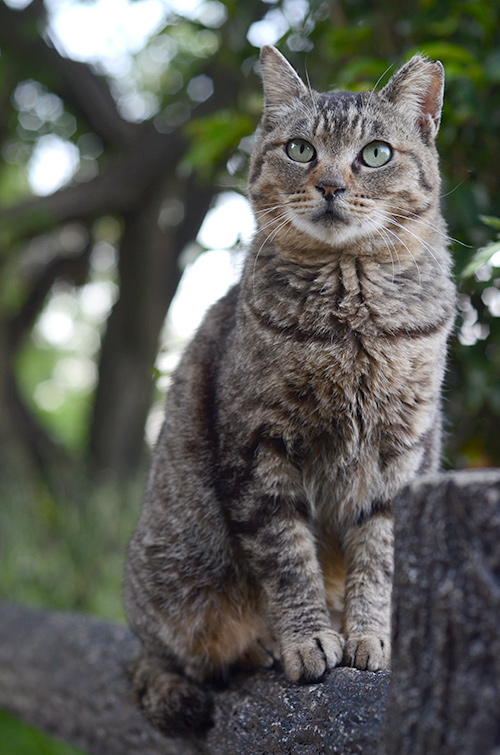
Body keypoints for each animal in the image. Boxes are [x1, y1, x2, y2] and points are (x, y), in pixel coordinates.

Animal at [124, 44, 458, 736]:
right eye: (301, 150)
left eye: (375, 154)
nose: (330, 185)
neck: (352, 309)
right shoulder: (259, 452)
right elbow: (286, 560)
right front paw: (306, 641)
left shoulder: (401, 454)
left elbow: (378, 556)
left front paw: (369, 634)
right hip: (178, 583)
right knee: (174, 659)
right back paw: (261, 646)